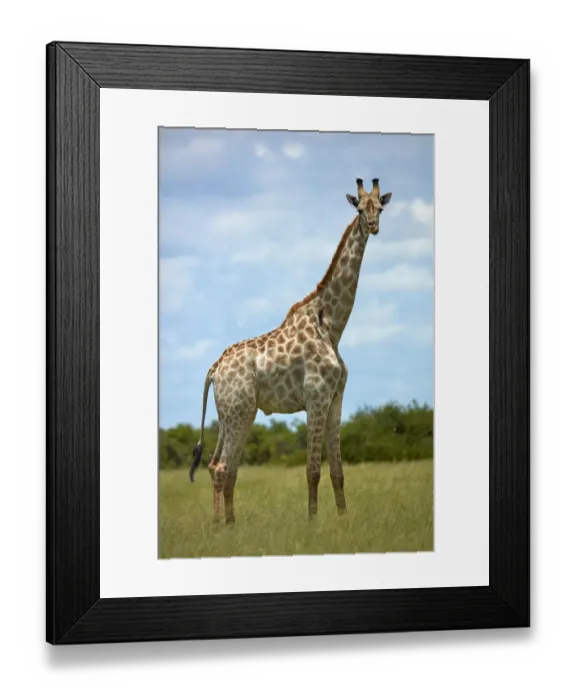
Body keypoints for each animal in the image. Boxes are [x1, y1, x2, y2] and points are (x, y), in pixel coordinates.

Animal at [190, 178, 392, 525]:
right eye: (359, 208)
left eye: (379, 207)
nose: (373, 226)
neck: (332, 326)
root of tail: (214, 368)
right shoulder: (316, 398)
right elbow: (313, 471)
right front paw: (312, 524)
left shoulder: (336, 399)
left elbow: (338, 472)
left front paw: (343, 520)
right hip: (239, 410)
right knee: (222, 466)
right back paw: (220, 528)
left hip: (234, 412)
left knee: (222, 467)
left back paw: (228, 526)